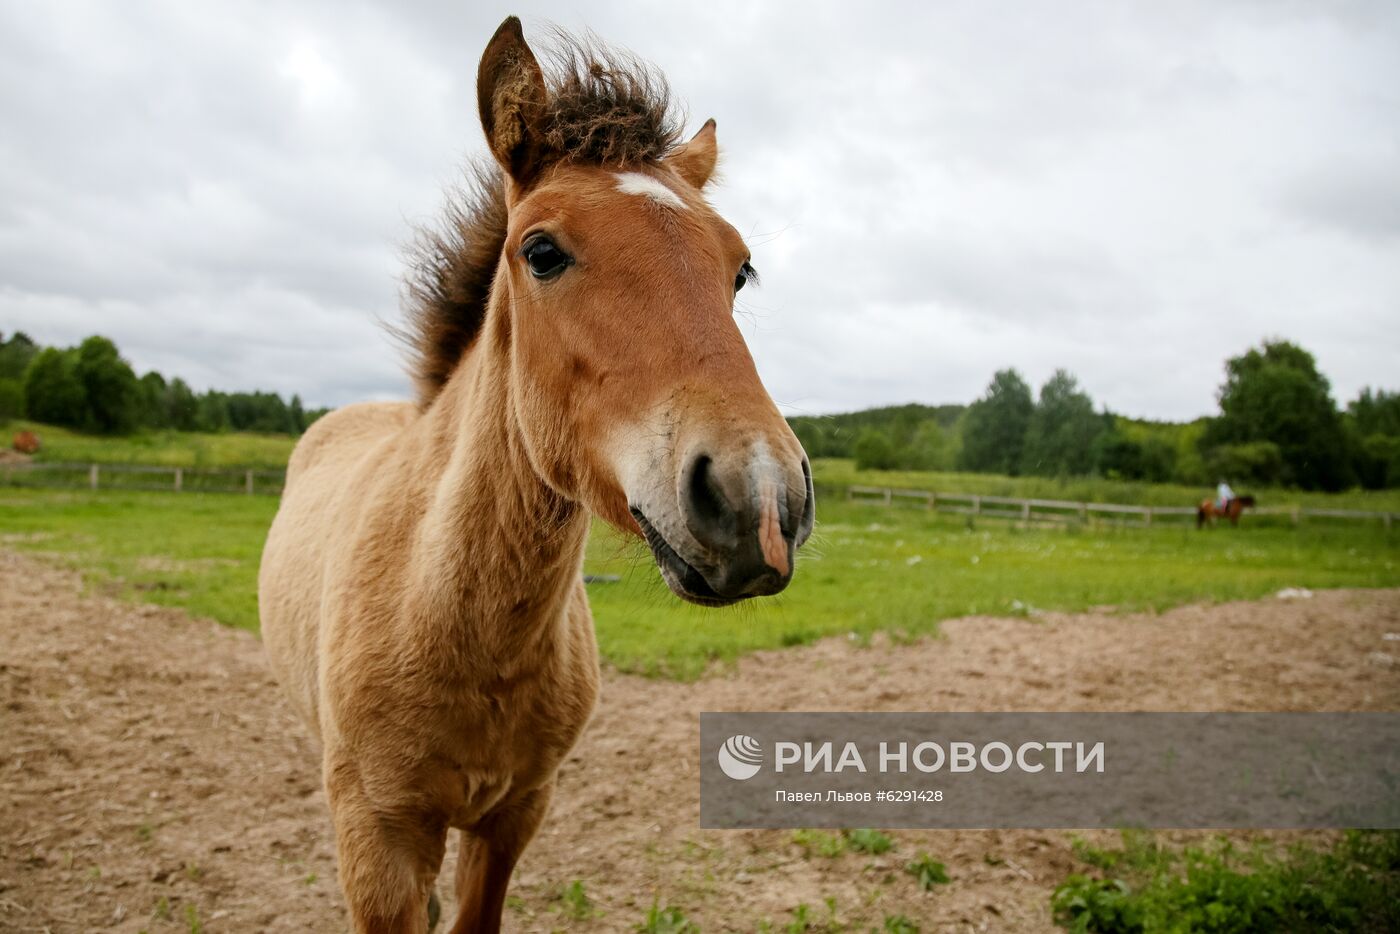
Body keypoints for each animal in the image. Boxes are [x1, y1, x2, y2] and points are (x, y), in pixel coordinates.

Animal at [259, 16, 817, 934]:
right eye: (542, 251)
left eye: (738, 268)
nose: (759, 501)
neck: (452, 623)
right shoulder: (377, 843)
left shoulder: (517, 813)